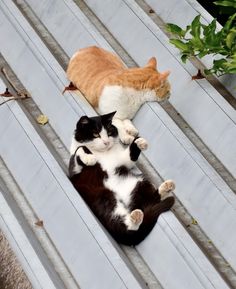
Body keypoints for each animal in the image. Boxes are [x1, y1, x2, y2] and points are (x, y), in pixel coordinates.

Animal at [69, 111, 174, 244]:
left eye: (109, 132)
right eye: (96, 134)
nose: (106, 142)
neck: (104, 153)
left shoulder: (123, 160)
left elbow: (130, 156)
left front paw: (140, 142)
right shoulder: (74, 170)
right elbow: (80, 149)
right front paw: (90, 158)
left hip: (139, 183)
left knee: (152, 200)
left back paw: (166, 188)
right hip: (105, 199)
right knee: (122, 224)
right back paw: (136, 217)